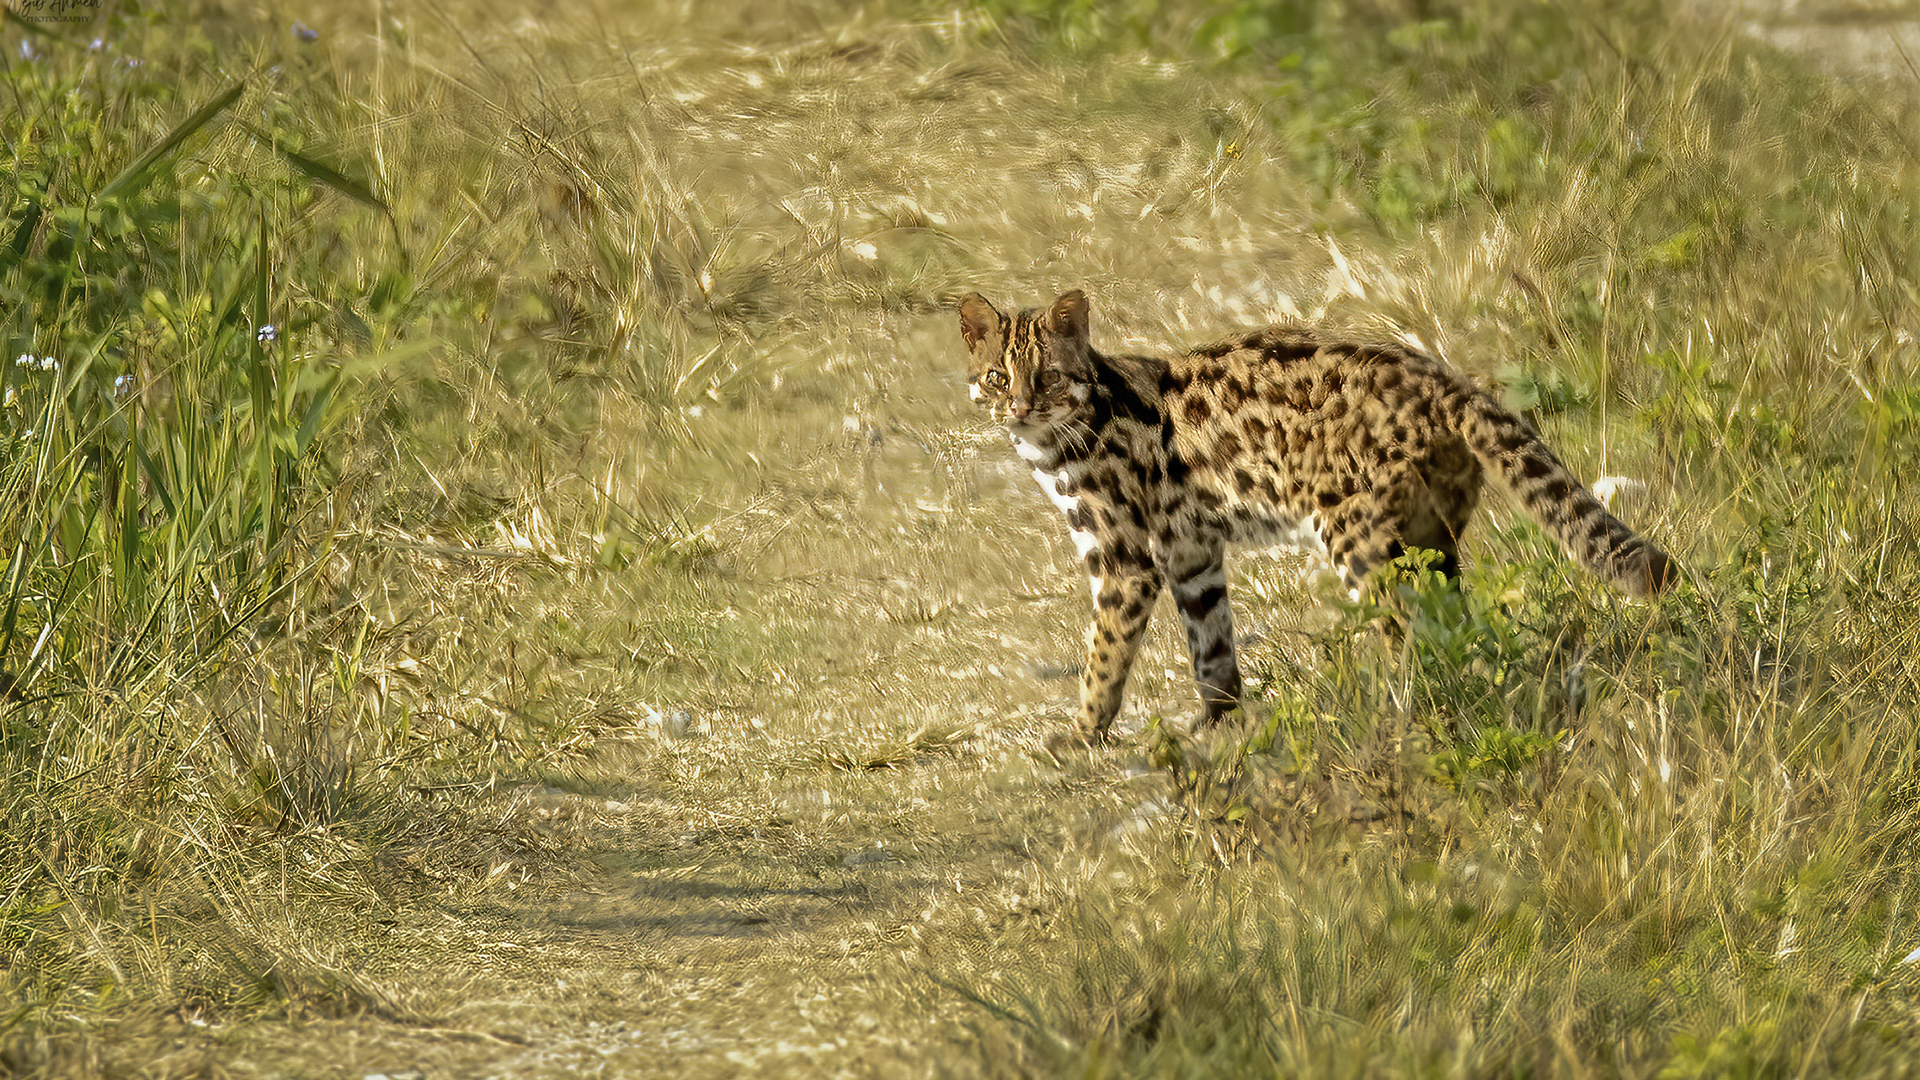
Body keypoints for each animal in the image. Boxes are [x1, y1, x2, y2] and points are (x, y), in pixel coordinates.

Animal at [952, 286, 1674, 737]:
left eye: (1046, 376)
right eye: (997, 376)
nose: (1018, 407)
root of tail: (1445, 377)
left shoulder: (1125, 561)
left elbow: (1104, 655)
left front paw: (1081, 733)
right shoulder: (1192, 553)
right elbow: (1211, 644)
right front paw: (1220, 721)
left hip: (1356, 536)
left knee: (1404, 634)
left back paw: (1398, 711)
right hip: (1431, 539)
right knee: (1452, 625)